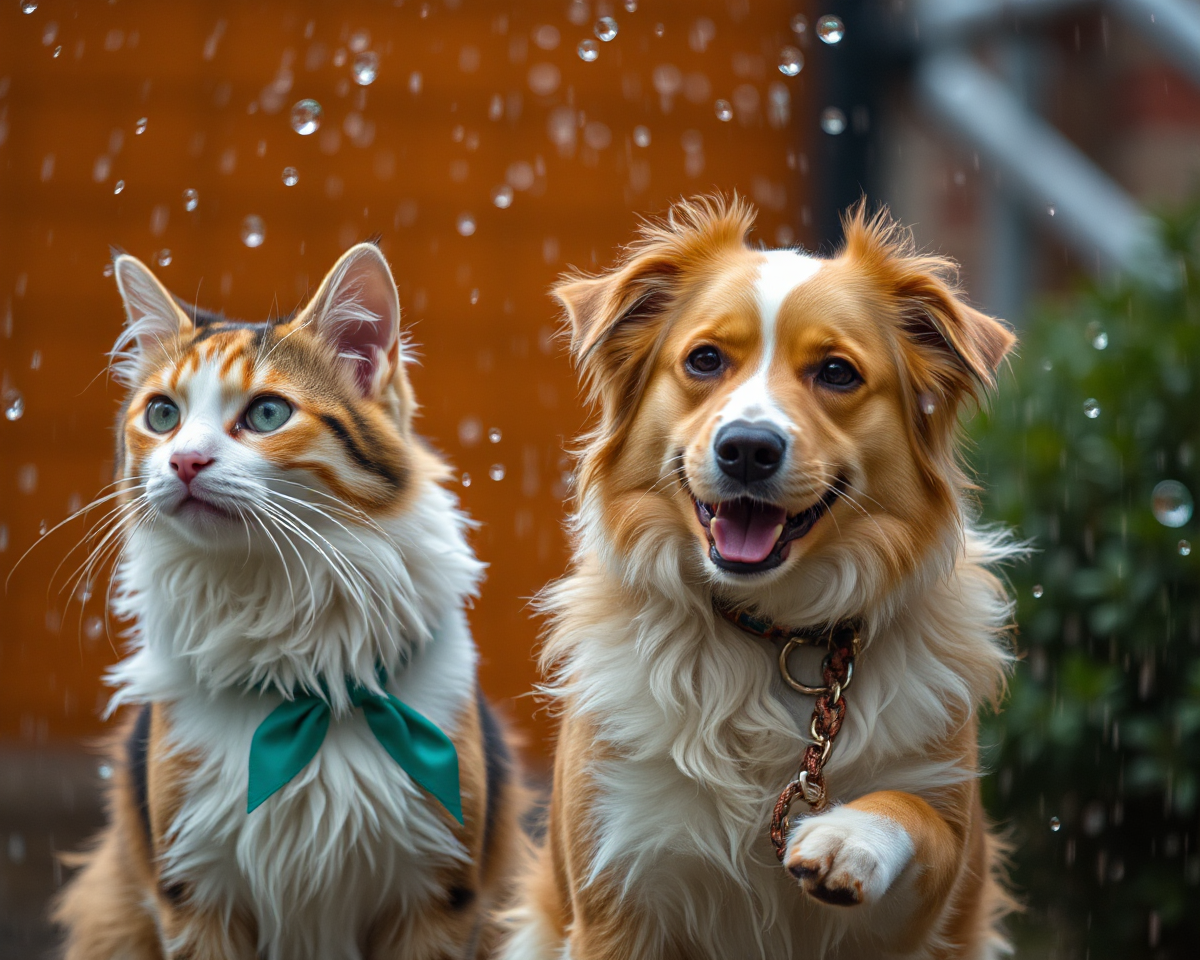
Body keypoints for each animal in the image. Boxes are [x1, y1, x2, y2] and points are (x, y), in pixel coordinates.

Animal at [55, 243, 525, 955]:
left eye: (267, 414)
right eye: (162, 415)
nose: (184, 462)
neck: (304, 678)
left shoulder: (437, 895)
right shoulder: (194, 892)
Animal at [501, 196, 1017, 960]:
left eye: (837, 373)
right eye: (705, 359)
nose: (746, 447)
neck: (776, 633)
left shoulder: (939, 883)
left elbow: (914, 812)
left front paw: (850, 837)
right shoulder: (618, 881)